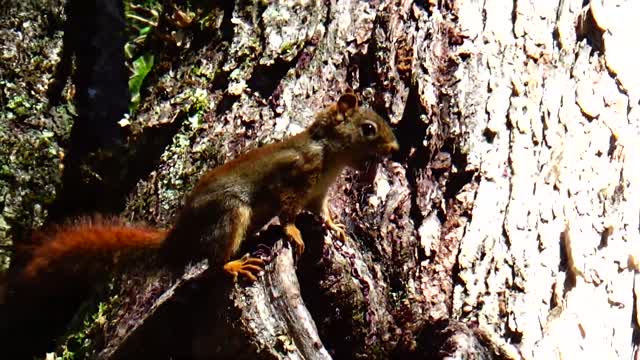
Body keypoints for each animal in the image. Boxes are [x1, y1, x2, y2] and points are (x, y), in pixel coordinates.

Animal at [12, 93, 398, 290]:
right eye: (368, 128)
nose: (395, 148)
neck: (330, 154)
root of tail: (182, 230)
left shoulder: (318, 193)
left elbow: (322, 212)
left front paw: (334, 226)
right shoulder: (293, 179)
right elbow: (287, 212)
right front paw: (292, 232)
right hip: (231, 213)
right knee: (212, 264)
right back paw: (234, 266)